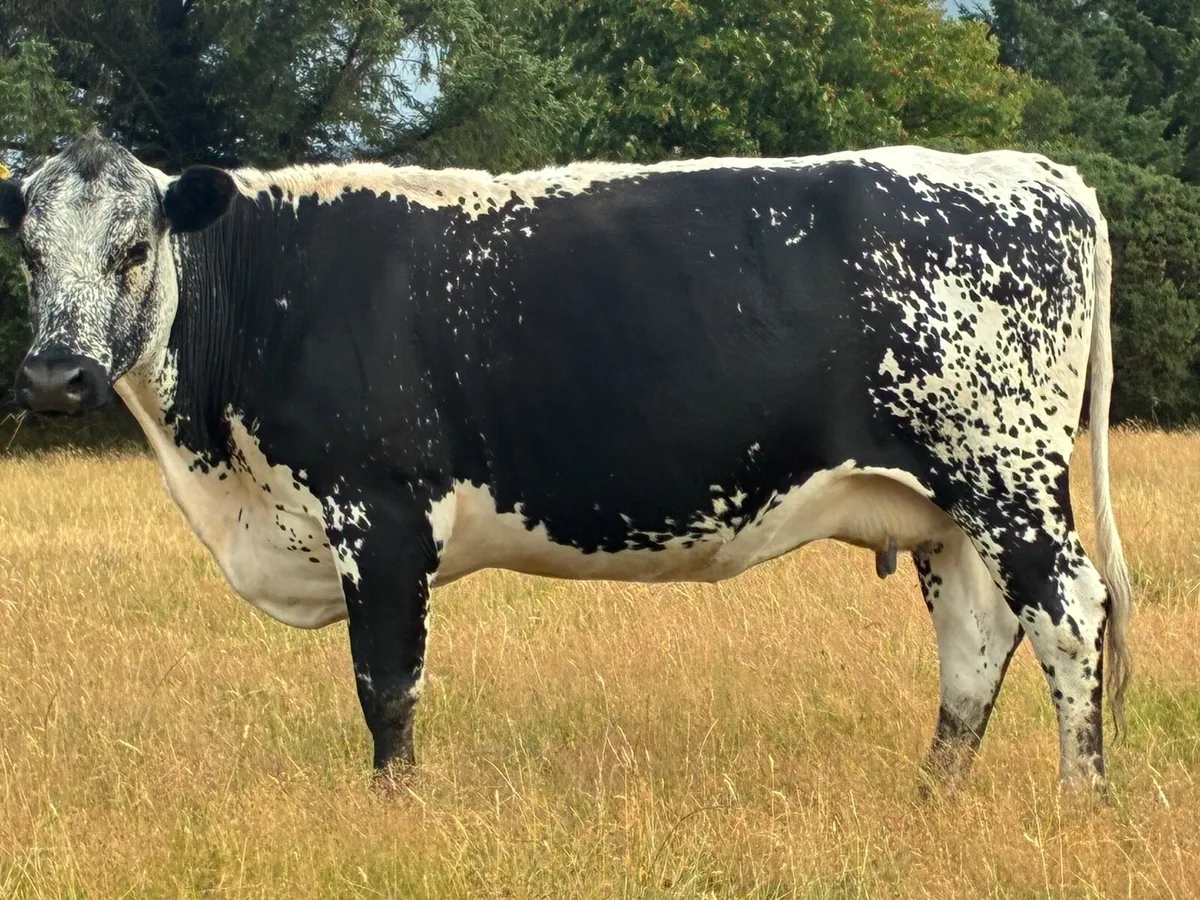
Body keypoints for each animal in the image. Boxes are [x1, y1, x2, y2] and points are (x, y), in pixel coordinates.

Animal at [0, 132, 1132, 795]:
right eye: (29, 252)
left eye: (134, 250)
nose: (56, 375)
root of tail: (1038, 172)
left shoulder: (379, 512)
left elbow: (386, 685)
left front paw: (394, 810)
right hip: (947, 512)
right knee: (976, 640)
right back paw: (932, 798)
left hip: (1006, 479)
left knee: (1070, 615)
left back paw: (1080, 799)